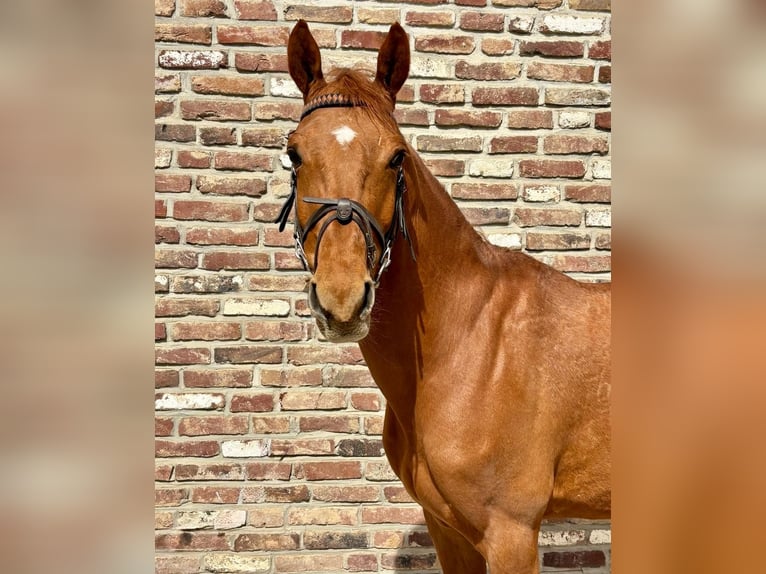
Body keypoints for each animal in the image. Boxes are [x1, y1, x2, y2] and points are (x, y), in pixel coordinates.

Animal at [277, 20, 611, 574]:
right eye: (294, 153)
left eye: (396, 156)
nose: (343, 300)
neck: (467, 342)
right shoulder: (447, 529)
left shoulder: (511, 534)